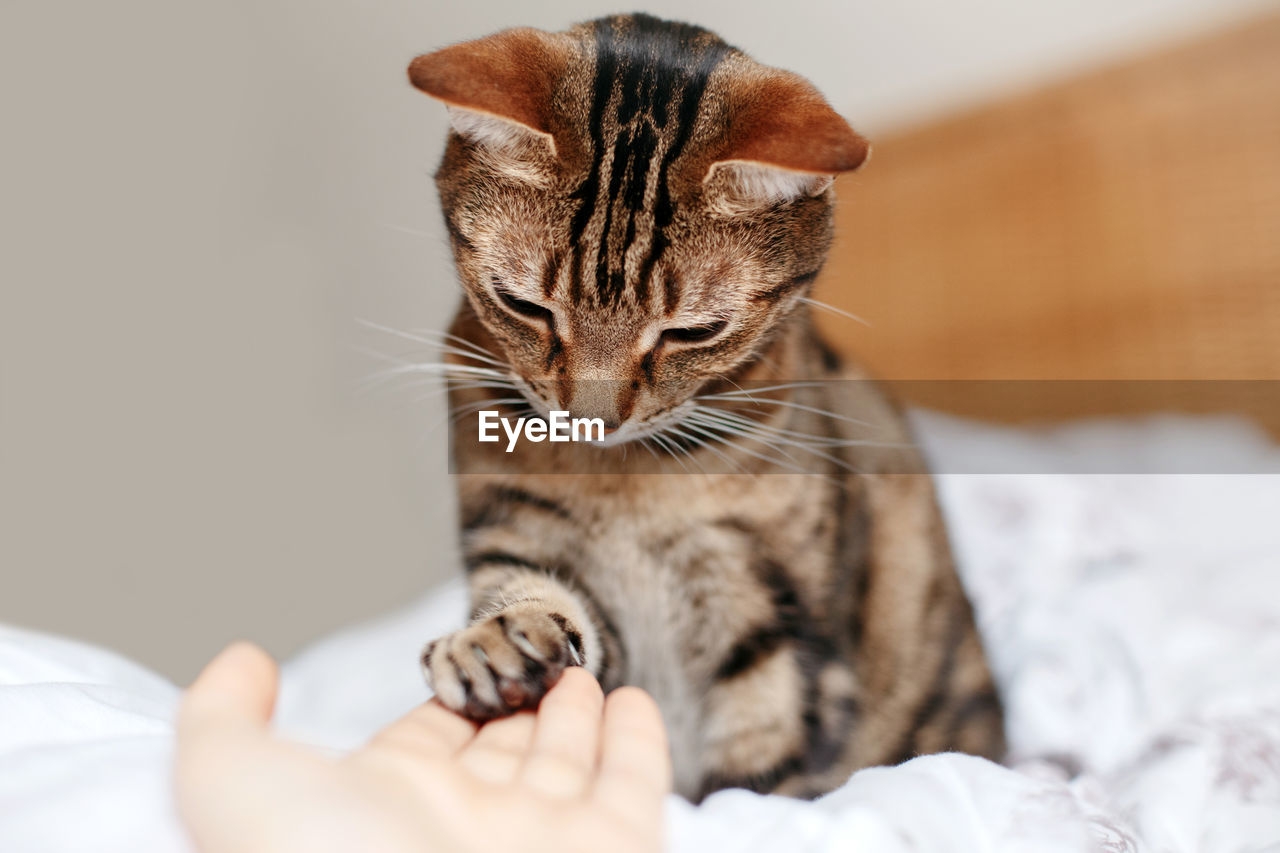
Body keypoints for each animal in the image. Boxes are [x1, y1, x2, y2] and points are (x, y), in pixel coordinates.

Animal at [404, 13, 1003, 799]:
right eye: (524, 306)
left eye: (693, 331)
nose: (595, 419)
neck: (628, 488)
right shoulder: (516, 529)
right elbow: (529, 594)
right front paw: (495, 643)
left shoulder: (767, 616)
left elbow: (761, 766)